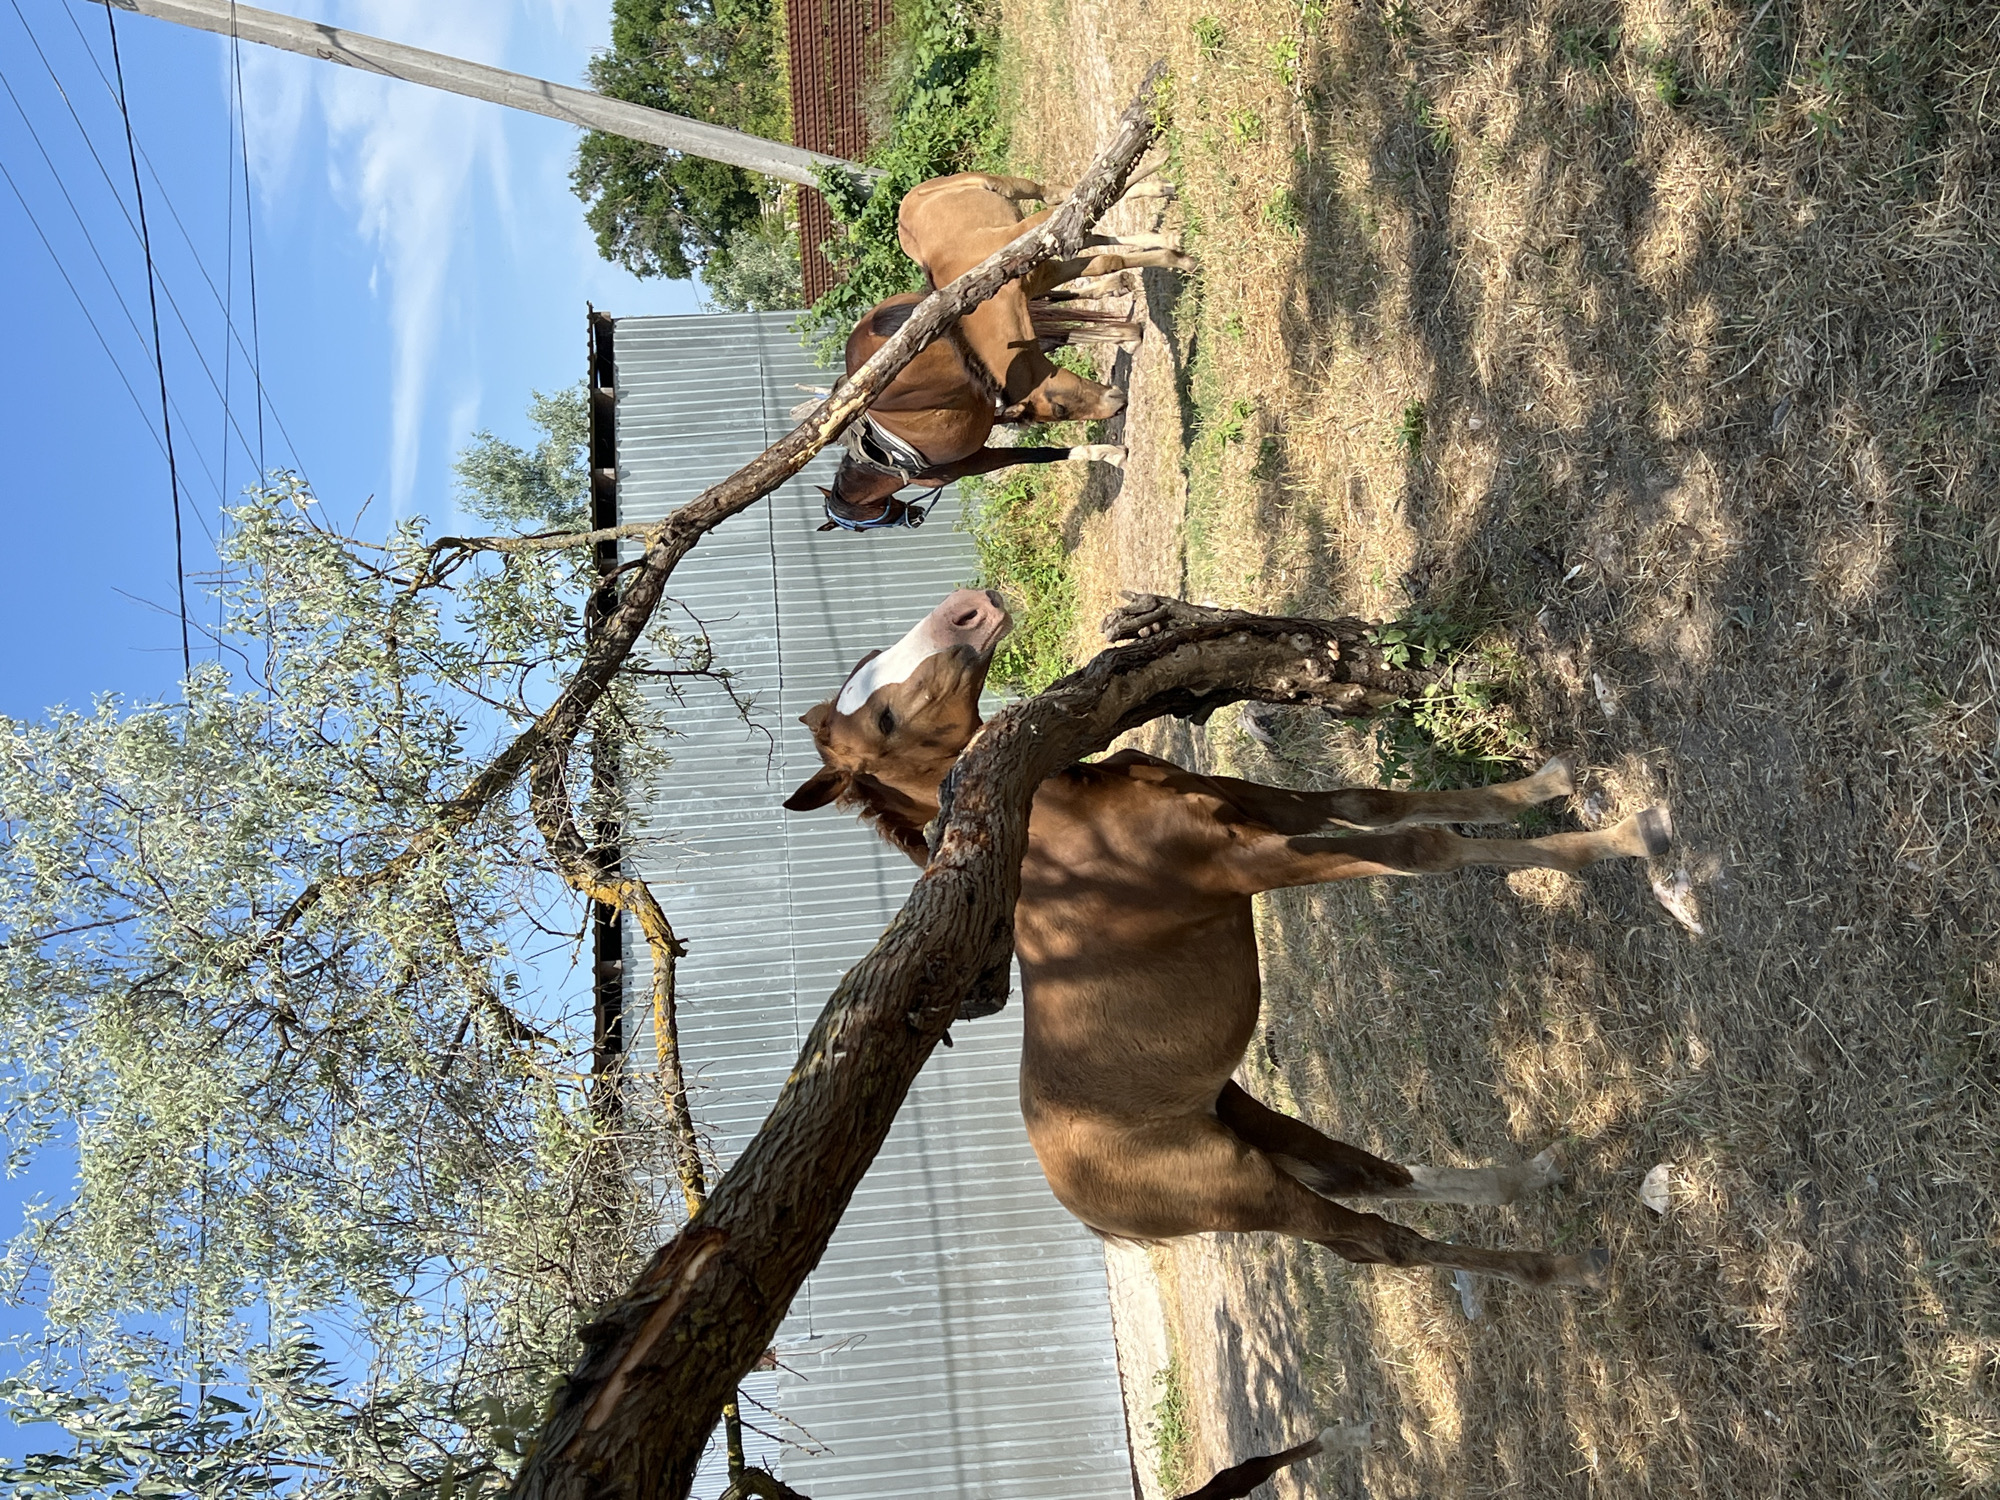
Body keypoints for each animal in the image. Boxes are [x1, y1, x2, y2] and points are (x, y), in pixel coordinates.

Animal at [783, 590, 1677, 1289]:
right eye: (885, 716)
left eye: (876, 676)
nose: (970, 607)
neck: (1064, 829)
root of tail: (1090, 1212)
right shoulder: (1241, 863)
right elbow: (1417, 848)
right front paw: (1628, 837)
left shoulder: (1252, 807)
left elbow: (1374, 803)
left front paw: (1550, 782)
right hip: (1240, 1187)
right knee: (1377, 1243)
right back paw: (1561, 1267)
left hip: (1246, 1118)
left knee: (1370, 1174)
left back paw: (1531, 1174)